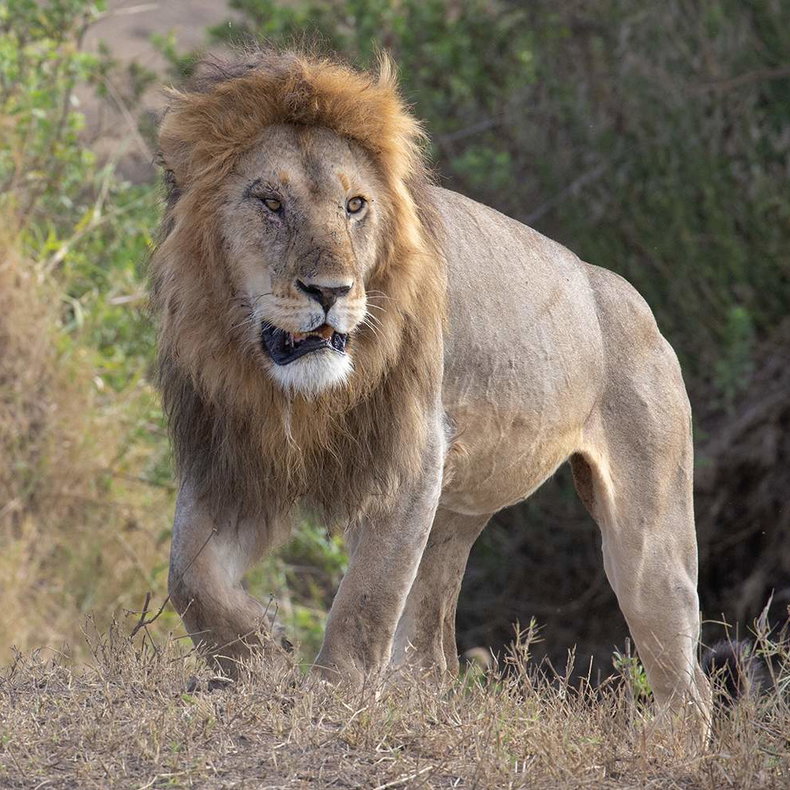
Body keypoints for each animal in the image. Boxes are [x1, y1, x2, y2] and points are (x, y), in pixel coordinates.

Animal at [151, 49, 709, 719]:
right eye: (270, 202)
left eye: (355, 205)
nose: (331, 292)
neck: (295, 391)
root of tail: (634, 303)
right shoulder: (235, 461)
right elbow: (189, 576)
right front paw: (262, 657)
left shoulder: (411, 456)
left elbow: (365, 603)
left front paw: (333, 700)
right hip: (454, 515)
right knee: (433, 653)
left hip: (649, 538)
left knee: (689, 684)